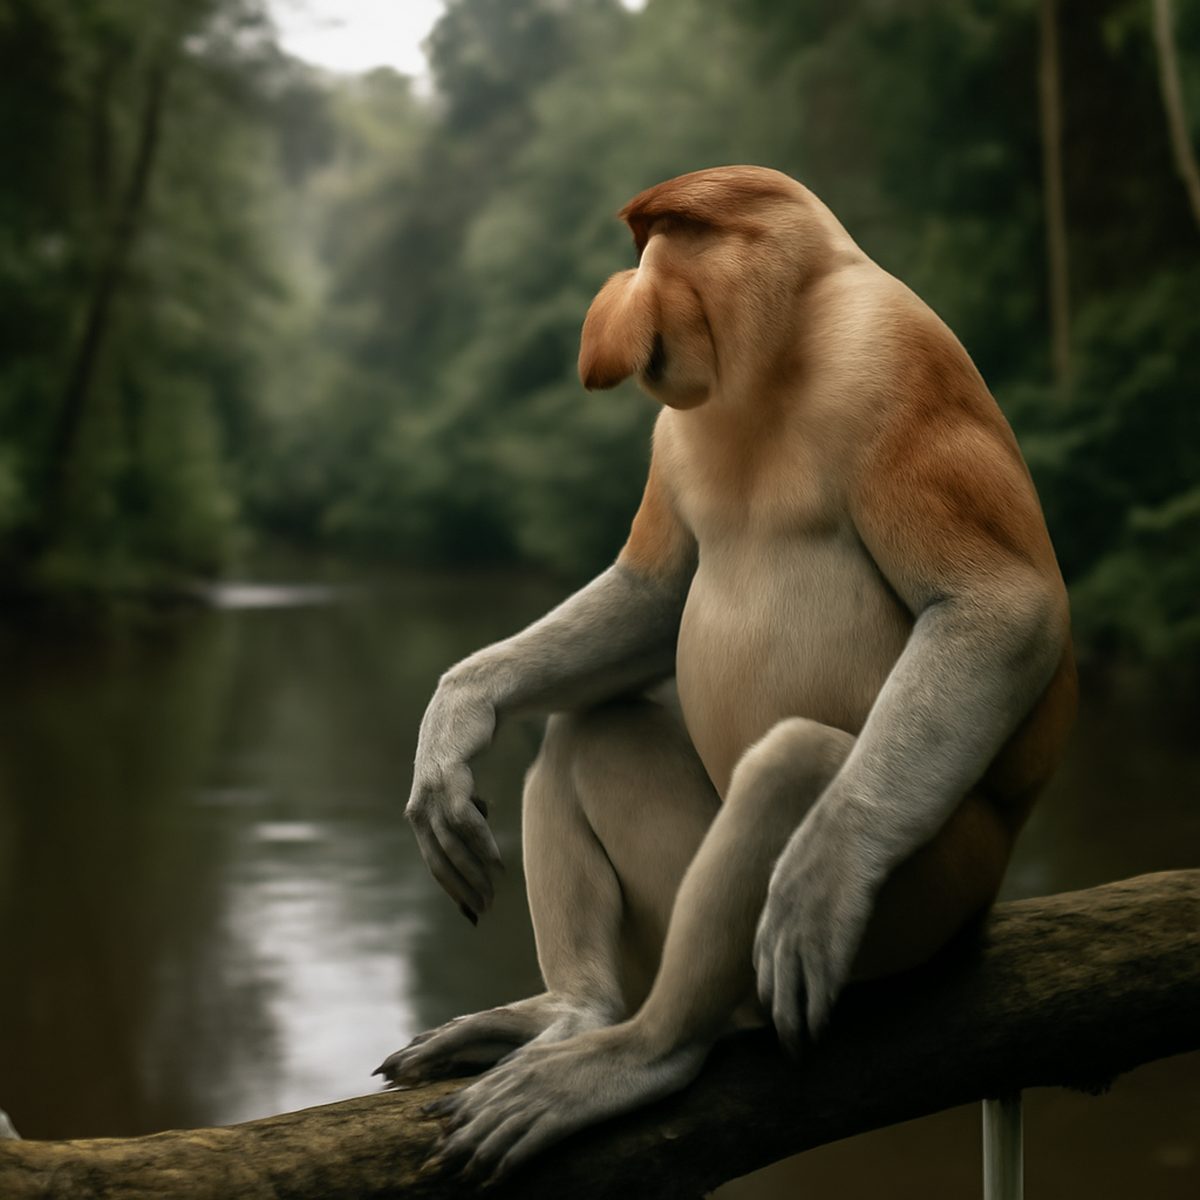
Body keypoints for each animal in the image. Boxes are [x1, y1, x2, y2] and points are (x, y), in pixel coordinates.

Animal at [376, 165, 1076, 1183]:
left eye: (668, 238)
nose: (613, 314)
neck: (782, 353)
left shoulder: (895, 354)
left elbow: (1003, 606)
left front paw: (818, 880)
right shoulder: (676, 429)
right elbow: (656, 596)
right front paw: (456, 719)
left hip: (933, 896)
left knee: (793, 764)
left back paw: (643, 1051)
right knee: (590, 730)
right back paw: (572, 1014)